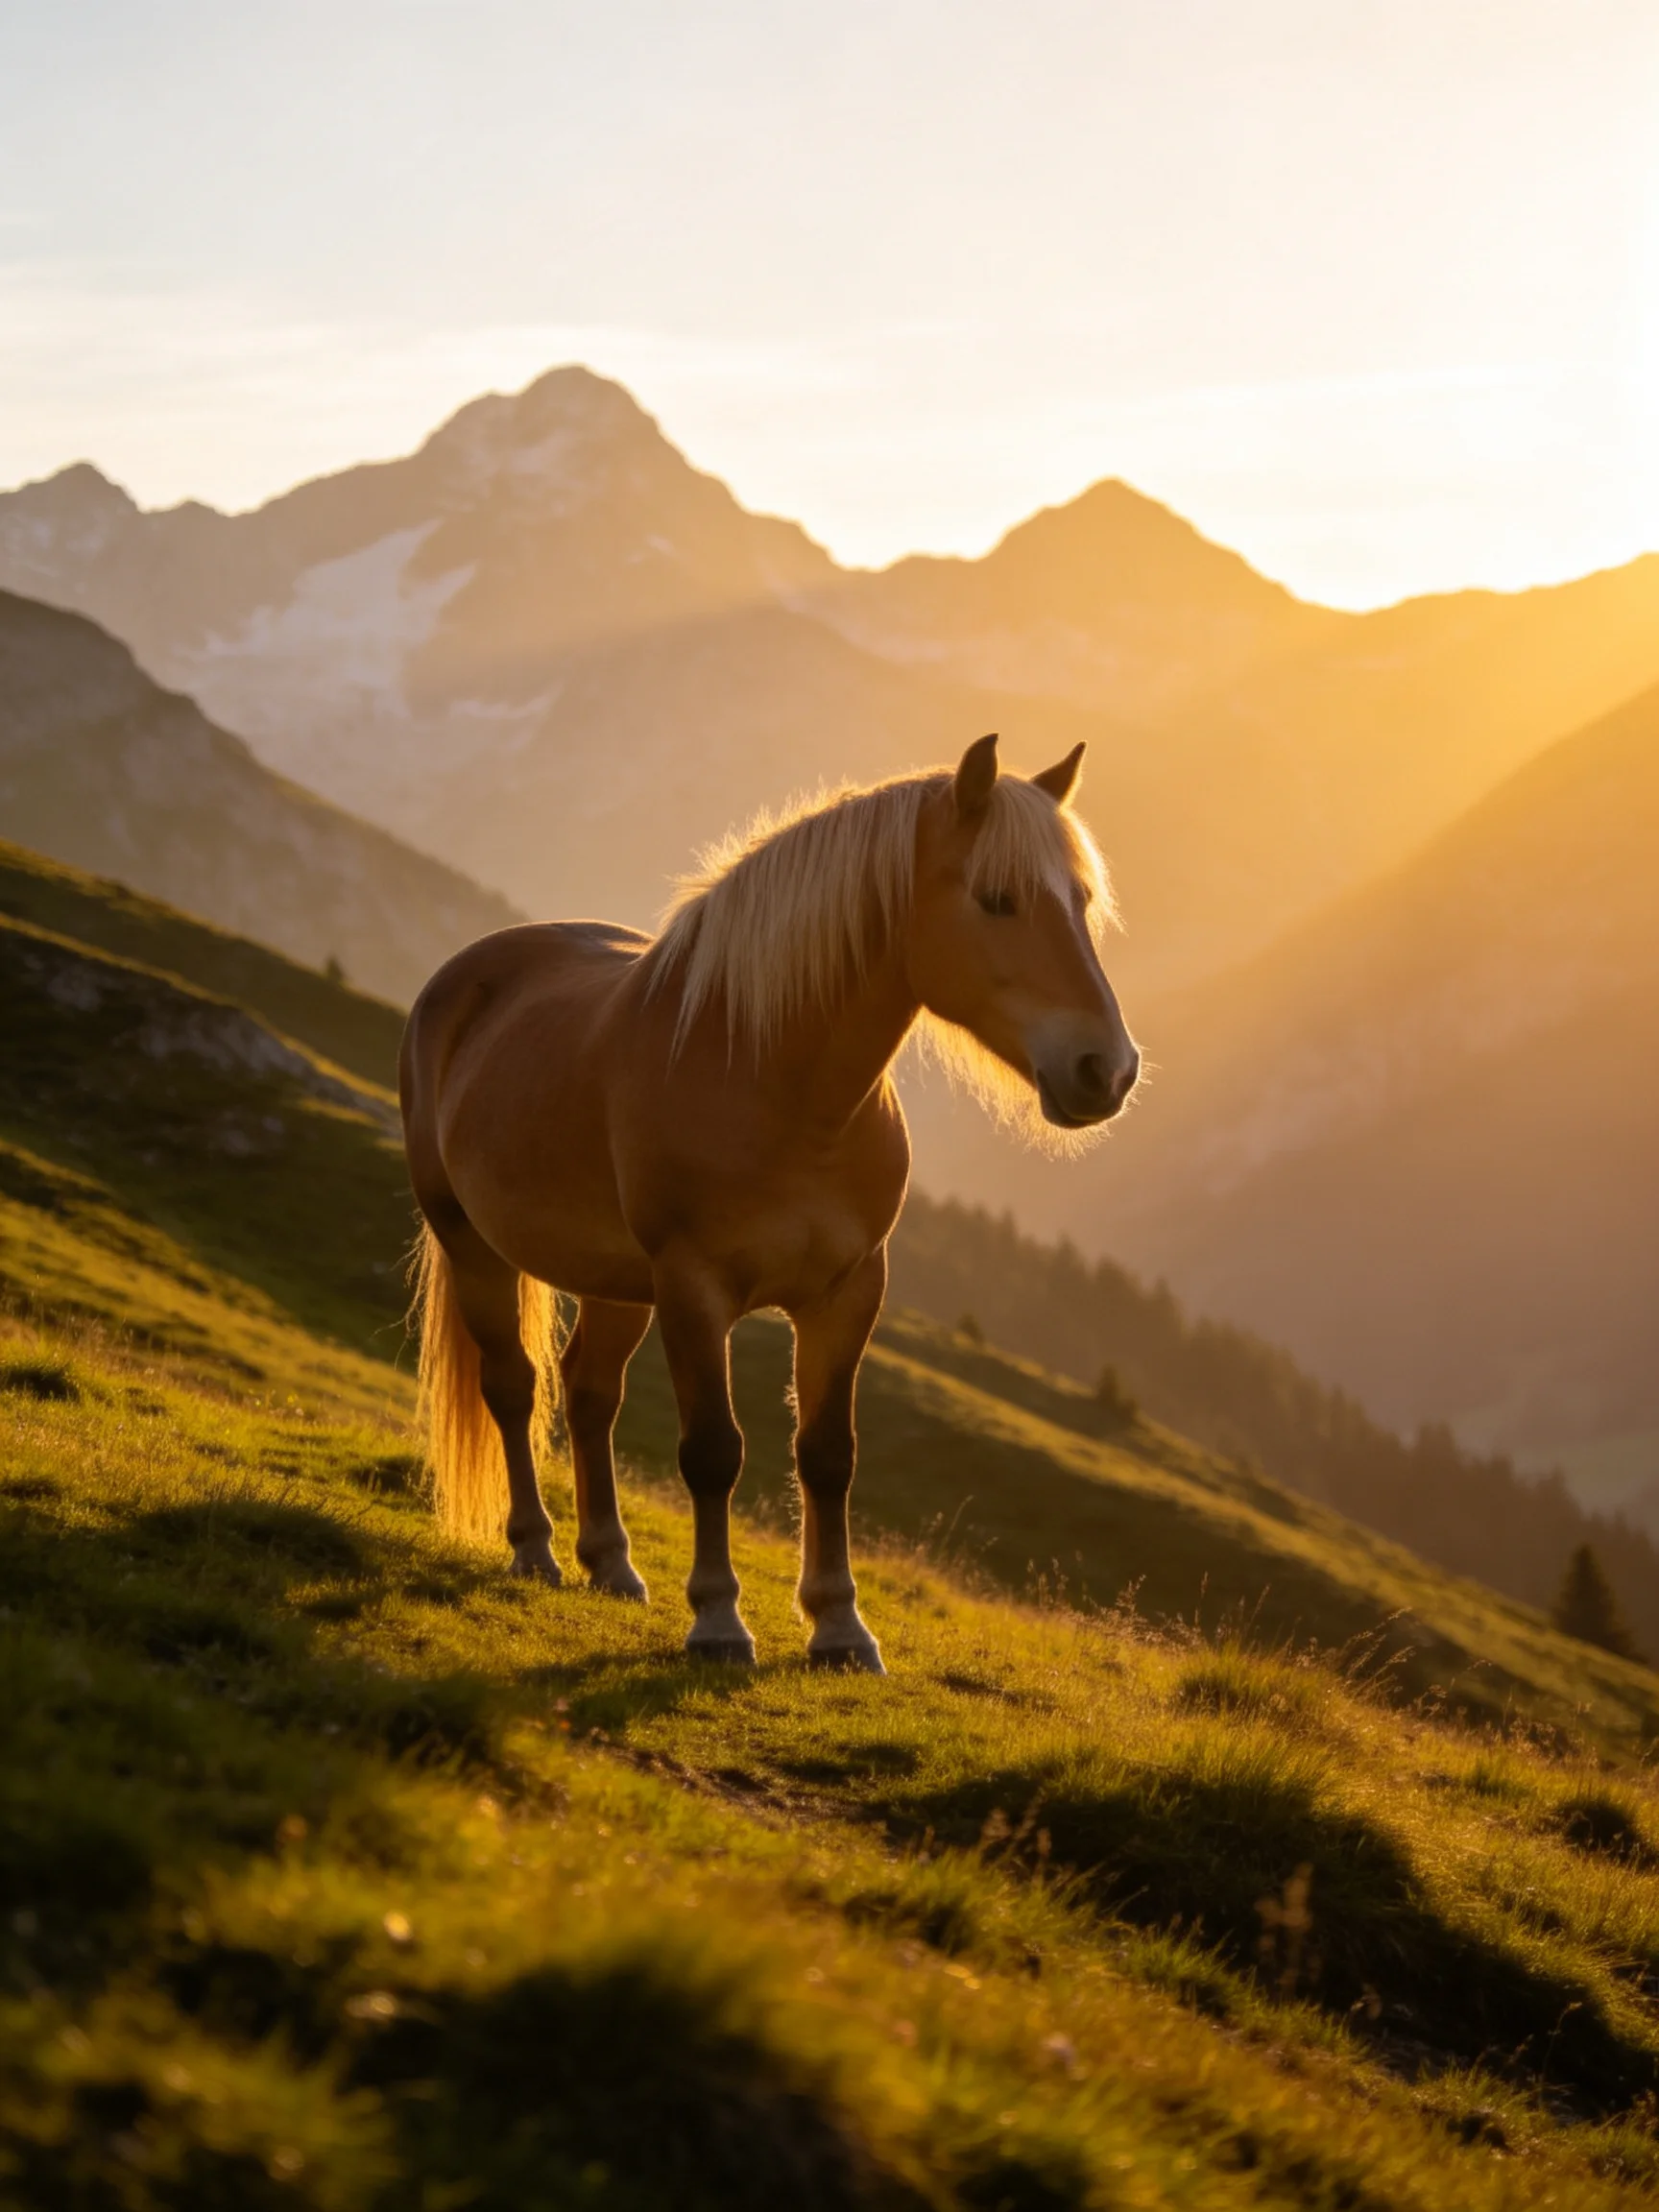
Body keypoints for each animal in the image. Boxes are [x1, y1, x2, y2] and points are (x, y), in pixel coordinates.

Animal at [400, 732, 1139, 1672]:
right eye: (997, 899)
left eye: (1081, 902)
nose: (1107, 1069)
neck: (777, 1087)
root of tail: (463, 975)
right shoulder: (693, 1289)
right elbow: (714, 1451)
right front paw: (719, 1621)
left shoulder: (849, 1292)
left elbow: (827, 1455)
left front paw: (840, 1628)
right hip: (473, 1245)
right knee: (513, 1386)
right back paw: (535, 1549)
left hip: (616, 1282)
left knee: (589, 1392)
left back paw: (612, 1565)